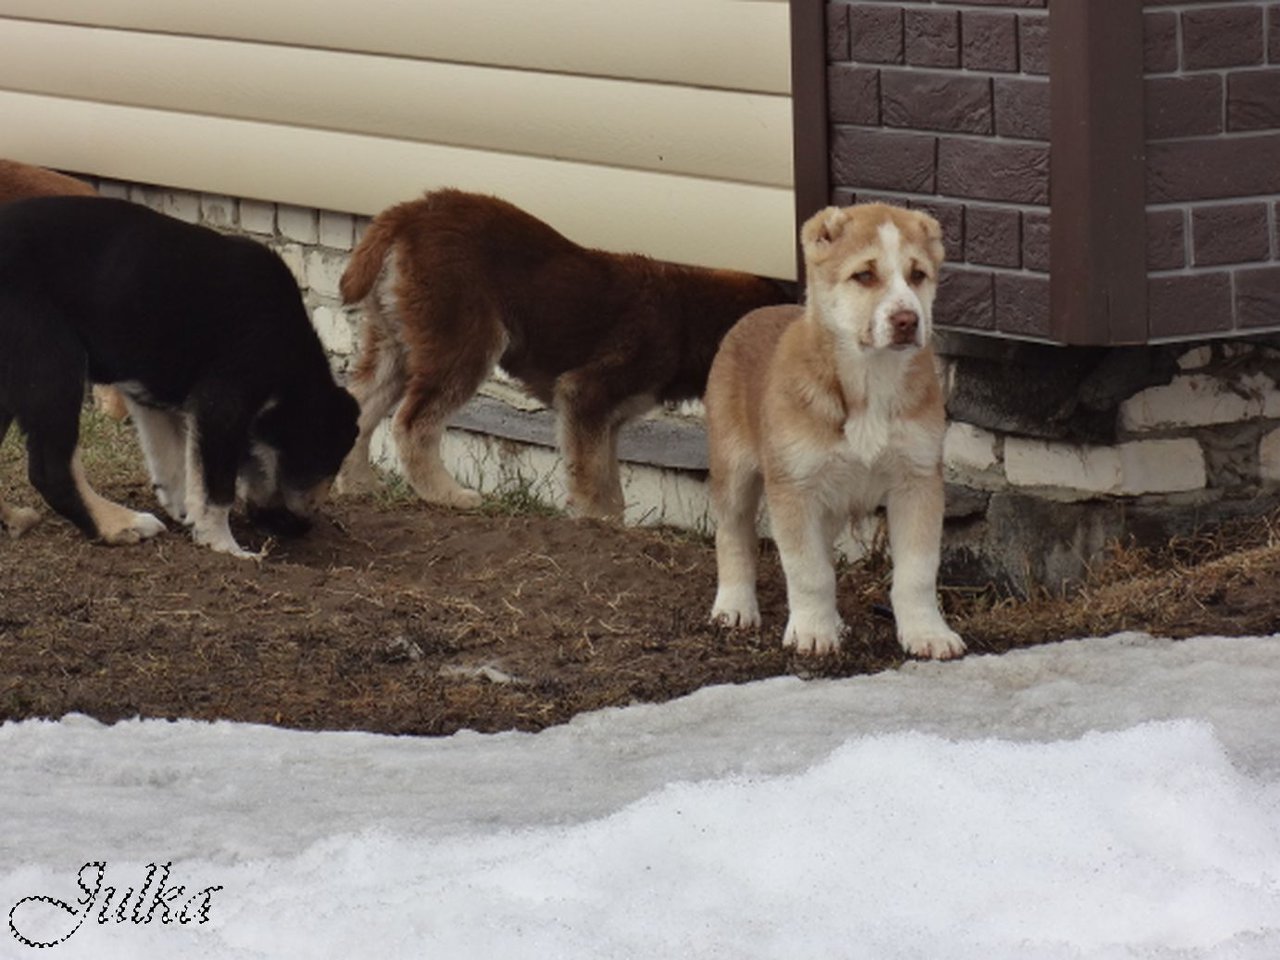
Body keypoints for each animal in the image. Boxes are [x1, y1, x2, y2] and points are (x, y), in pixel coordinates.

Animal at [0, 195, 358, 555]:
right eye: (321, 461)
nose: (302, 528)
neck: (291, 362)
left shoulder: (153, 397)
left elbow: (174, 461)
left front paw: (187, 513)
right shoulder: (223, 402)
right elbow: (216, 490)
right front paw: (225, 546)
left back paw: (13, 518)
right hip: (52, 357)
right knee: (52, 471)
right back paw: (119, 524)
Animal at [335, 188, 783, 519]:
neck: (688, 314)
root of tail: (410, 212)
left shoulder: (606, 419)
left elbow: (608, 479)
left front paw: (609, 520)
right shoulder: (585, 393)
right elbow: (591, 476)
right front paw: (595, 521)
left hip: (395, 347)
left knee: (360, 407)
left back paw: (358, 484)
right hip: (466, 345)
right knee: (414, 425)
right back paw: (445, 495)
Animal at [706, 203, 962, 660]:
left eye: (918, 274)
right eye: (865, 275)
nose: (907, 320)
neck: (870, 380)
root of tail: (754, 313)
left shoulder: (917, 481)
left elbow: (917, 572)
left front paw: (926, 633)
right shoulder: (794, 488)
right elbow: (808, 571)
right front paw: (811, 631)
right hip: (734, 468)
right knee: (732, 532)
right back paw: (734, 606)